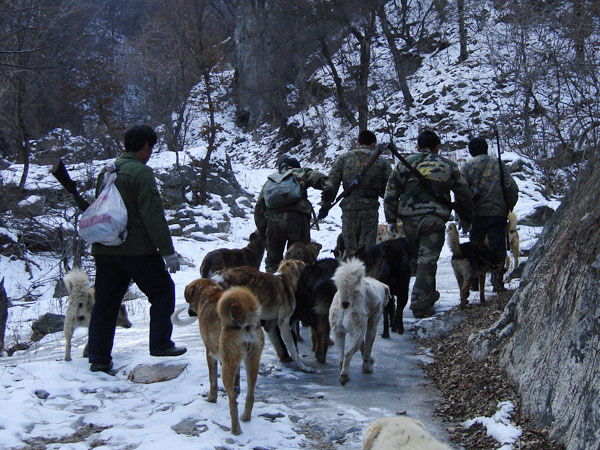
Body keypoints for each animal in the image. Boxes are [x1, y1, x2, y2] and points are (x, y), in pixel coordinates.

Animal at [176, 282, 264, 436]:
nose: (189, 312)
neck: (209, 291)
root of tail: (244, 320)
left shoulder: (210, 353)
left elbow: (212, 381)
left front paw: (211, 399)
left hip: (228, 367)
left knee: (232, 402)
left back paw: (235, 429)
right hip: (252, 362)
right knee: (250, 395)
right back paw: (245, 417)